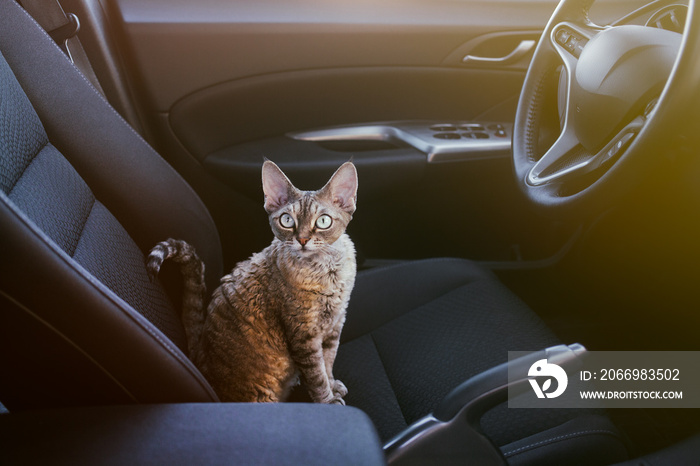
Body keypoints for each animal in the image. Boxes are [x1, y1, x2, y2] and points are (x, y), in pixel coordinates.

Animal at [146, 160, 358, 404]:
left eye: (323, 221)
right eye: (287, 220)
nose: (302, 239)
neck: (328, 272)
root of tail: (199, 357)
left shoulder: (336, 323)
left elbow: (329, 361)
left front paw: (333, 385)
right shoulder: (303, 336)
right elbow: (317, 376)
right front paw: (329, 401)